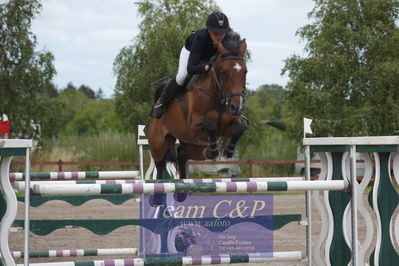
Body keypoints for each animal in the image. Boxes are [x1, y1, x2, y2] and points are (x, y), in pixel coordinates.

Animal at [148, 33, 248, 179]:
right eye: (224, 72)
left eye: (245, 72)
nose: (236, 107)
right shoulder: (192, 126)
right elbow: (210, 124)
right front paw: (213, 149)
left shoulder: (227, 126)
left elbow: (240, 128)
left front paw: (229, 151)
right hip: (158, 146)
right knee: (160, 168)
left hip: (193, 147)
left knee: (181, 154)